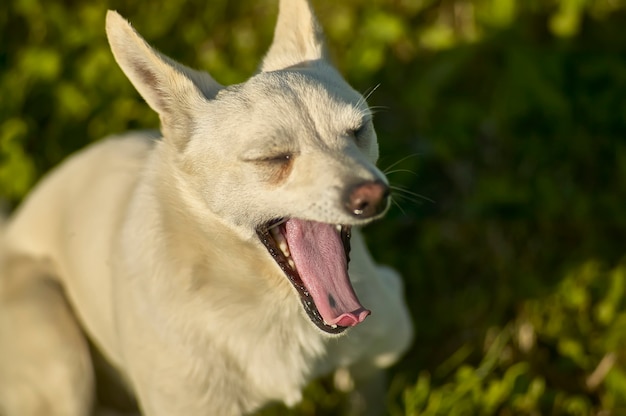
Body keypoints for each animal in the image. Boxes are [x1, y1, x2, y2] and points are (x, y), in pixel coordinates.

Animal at [0, 1, 412, 414]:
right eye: (272, 157)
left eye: (359, 131)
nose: (374, 194)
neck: (270, 303)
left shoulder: (376, 356)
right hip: (62, 365)